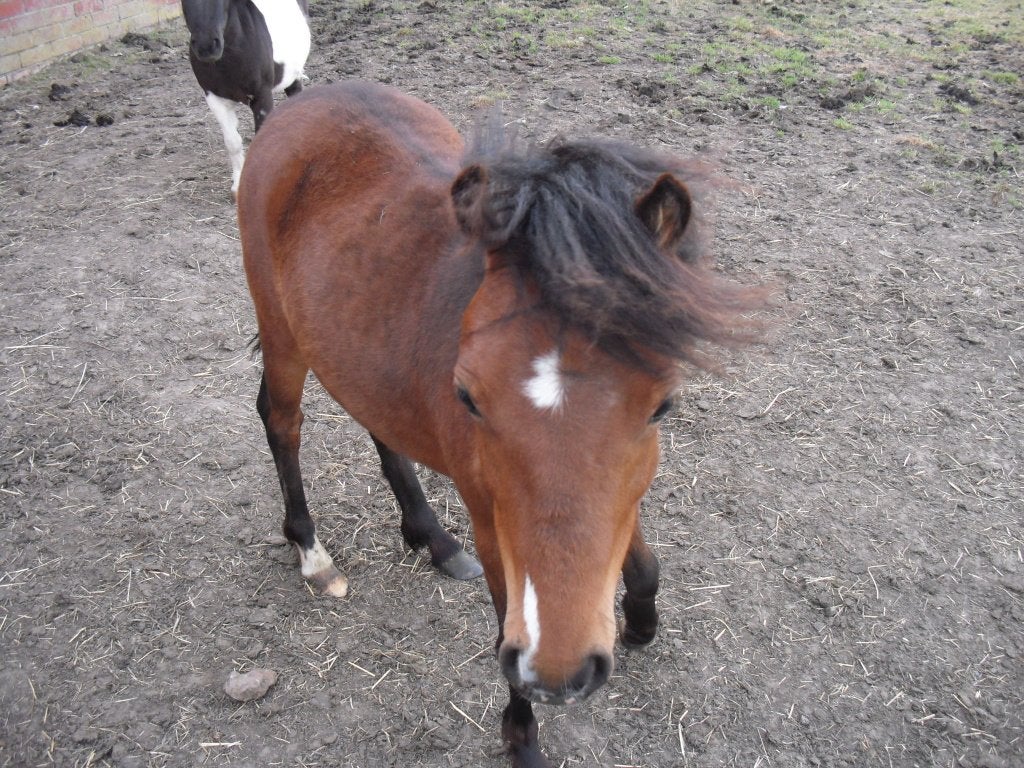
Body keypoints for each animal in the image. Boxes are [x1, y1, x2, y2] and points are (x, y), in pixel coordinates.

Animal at [236, 81, 766, 767]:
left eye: (662, 404)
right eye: (468, 397)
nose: (561, 674)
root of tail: (298, 103)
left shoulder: (622, 491)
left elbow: (638, 557)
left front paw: (641, 619)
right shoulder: (492, 520)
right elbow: (504, 622)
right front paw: (522, 736)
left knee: (378, 421)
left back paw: (431, 535)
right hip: (282, 333)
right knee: (281, 421)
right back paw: (311, 551)